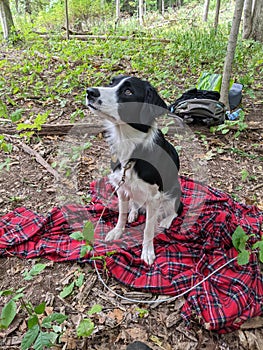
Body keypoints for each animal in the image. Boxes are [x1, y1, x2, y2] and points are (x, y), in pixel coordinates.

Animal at [87, 75, 183, 264]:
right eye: (111, 82)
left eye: (128, 92)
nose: (90, 92)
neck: (130, 149)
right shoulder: (121, 187)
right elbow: (121, 214)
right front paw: (118, 231)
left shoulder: (154, 197)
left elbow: (148, 228)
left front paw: (147, 251)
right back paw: (134, 212)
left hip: (175, 190)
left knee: (176, 209)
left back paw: (166, 220)